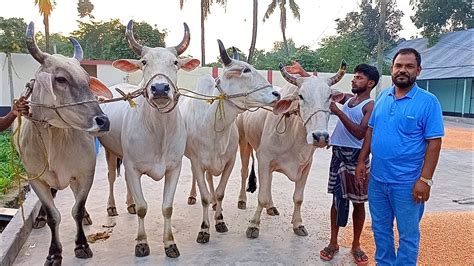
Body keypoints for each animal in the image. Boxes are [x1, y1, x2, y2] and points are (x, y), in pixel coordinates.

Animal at [13, 22, 111, 266]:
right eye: (61, 79)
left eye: (87, 80)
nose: (103, 121)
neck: (53, 138)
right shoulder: (36, 179)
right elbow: (53, 216)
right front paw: (54, 253)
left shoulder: (85, 174)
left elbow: (77, 209)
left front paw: (82, 245)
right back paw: (38, 218)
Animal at [98, 19, 198, 256]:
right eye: (144, 62)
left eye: (175, 62)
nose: (160, 88)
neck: (159, 133)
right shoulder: (133, 166)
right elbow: (144, 207)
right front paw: (142, 243)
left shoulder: (174, 167)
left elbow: (167, 207)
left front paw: (170, 243)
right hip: (110, 151)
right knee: (111, 177)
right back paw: (112, 206)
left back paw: (129, 204)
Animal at [180, 39, 280, 243]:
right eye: (245, 70)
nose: (276, 94)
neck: (214, 125)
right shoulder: (197, 162)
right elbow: (204, 195)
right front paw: (204, 229)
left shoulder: (229, 161)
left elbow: (220, 192)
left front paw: (219, 220)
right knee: (197, 180)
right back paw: (192, 196)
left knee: (211, 180)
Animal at [236, 61, 344, 239]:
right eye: (300, 96)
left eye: (329, 96)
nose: (320, 137)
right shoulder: (264, 159)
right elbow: (261, 196)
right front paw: (253, 225)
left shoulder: (306, 165)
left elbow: (298, 197)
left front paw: (298, 224)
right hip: (244, 142)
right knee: (244, 172)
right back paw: (242, 200)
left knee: (269, 181)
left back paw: (271, 206)